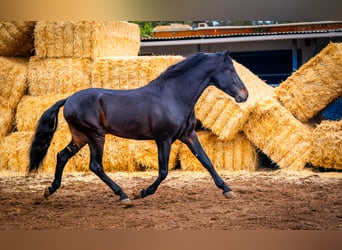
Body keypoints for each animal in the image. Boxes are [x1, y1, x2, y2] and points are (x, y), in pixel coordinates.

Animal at [28, 50, 248, 205]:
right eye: (230, 70)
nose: (244, 95)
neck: (173, 96)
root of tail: (69, 99)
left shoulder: (188, 135)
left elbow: (207, 162)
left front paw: (227, 190)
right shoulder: (164, 139)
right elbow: (163, 171)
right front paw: (141, 192)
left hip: (80, 137)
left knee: (62, 156)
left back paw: (50, 190)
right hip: (96, 136)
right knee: (95, 165)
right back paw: (123, 195)